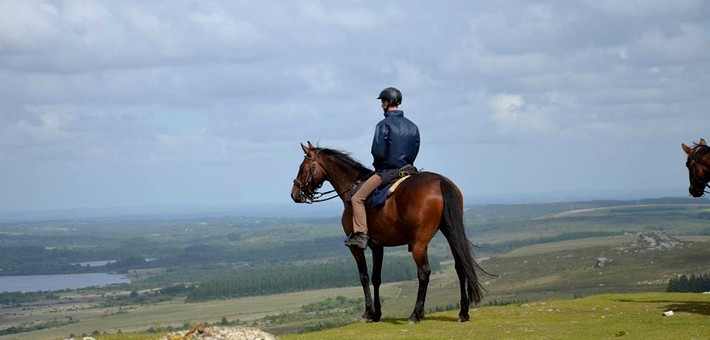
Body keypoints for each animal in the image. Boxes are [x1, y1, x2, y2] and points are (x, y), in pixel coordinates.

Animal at [290, 142, 484, 322]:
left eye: (302, 167)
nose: (294, 194)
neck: (352, 188)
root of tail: (441, 182)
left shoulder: (356, 247)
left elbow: (364, 276)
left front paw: (368, 313)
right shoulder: (377, 246)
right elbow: (376, 277)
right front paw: (377, 314)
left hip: (419, 243)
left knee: (424, 273)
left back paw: (415, 314)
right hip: (450, 234)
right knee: (460, 266)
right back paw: (463, 312)